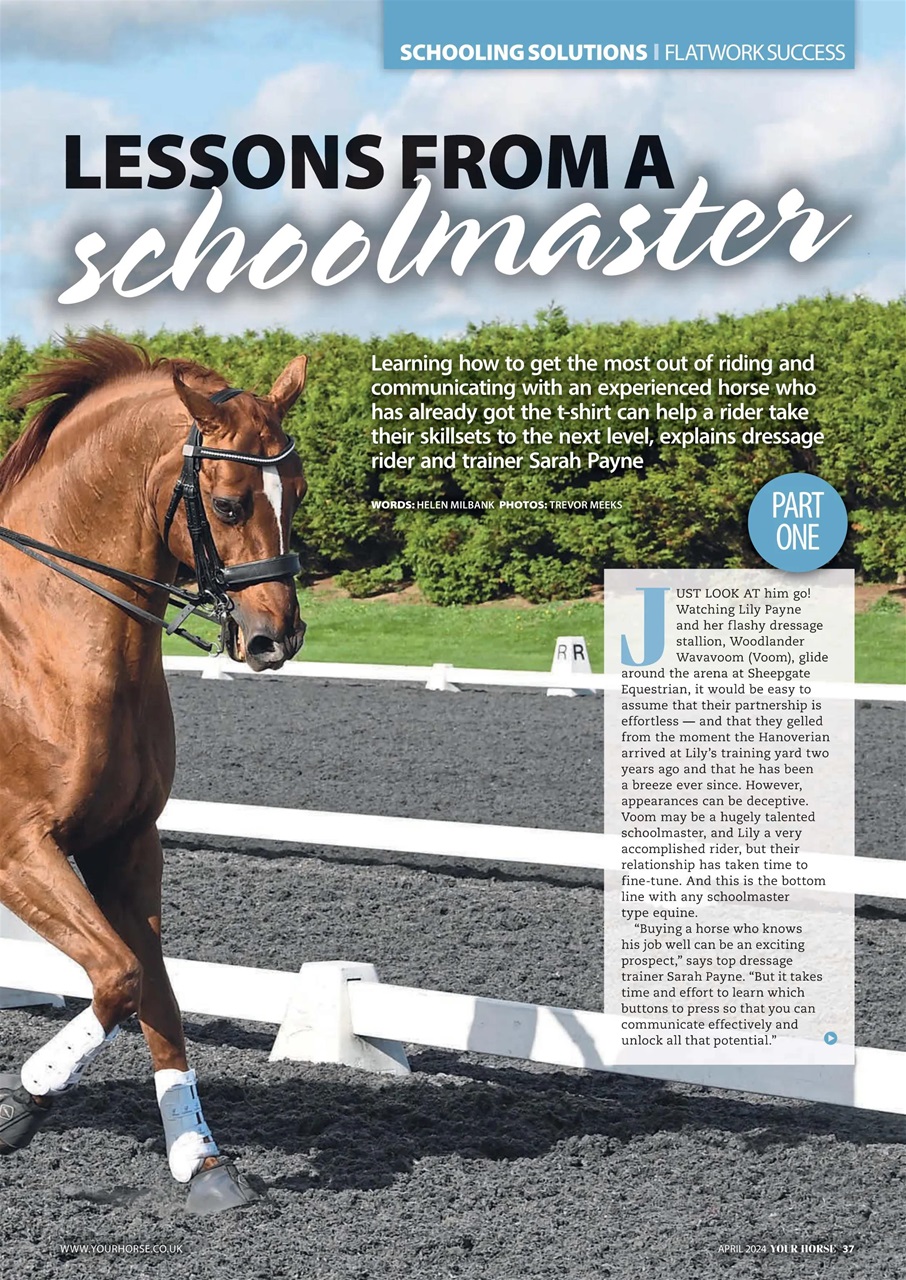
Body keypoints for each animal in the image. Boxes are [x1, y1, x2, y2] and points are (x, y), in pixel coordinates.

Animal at [0, 333, 309, 1214]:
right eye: (230, 504)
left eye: (299, 493)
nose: (276, 638)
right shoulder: (19, 848)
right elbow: (119, 977)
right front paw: (24, 1099)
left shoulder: (129, 843)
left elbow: (158, 992)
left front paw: (202, 1161)